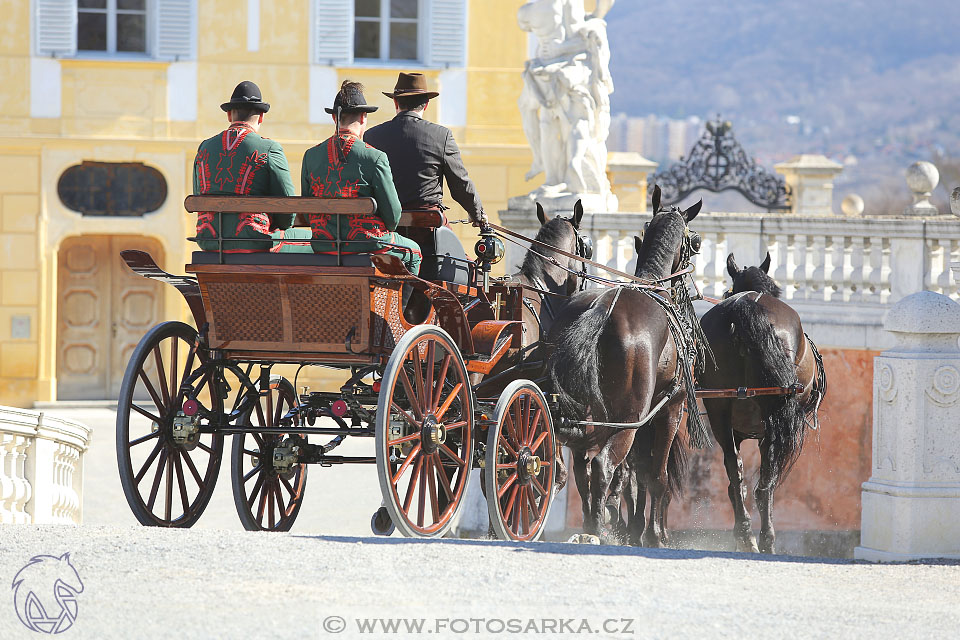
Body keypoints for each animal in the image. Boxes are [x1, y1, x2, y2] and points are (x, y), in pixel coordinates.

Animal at [548, 195, 704, 544]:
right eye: (695, 242)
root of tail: (602, 308)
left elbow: (637, 475)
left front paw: (632, 525)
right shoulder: (670, 409)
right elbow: (656, 476)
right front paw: (655, 534)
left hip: (592, 415)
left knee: (583, 468)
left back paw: (593, 523)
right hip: (628, 419)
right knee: (604, 466)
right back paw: (598, 528)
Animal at [696, 252, 824, 552]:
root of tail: (747, 307)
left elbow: (737, 475)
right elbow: (765, 480)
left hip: (720, 410)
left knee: (736, 474)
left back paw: (746, 534)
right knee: (765, 484)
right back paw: (763, 539)